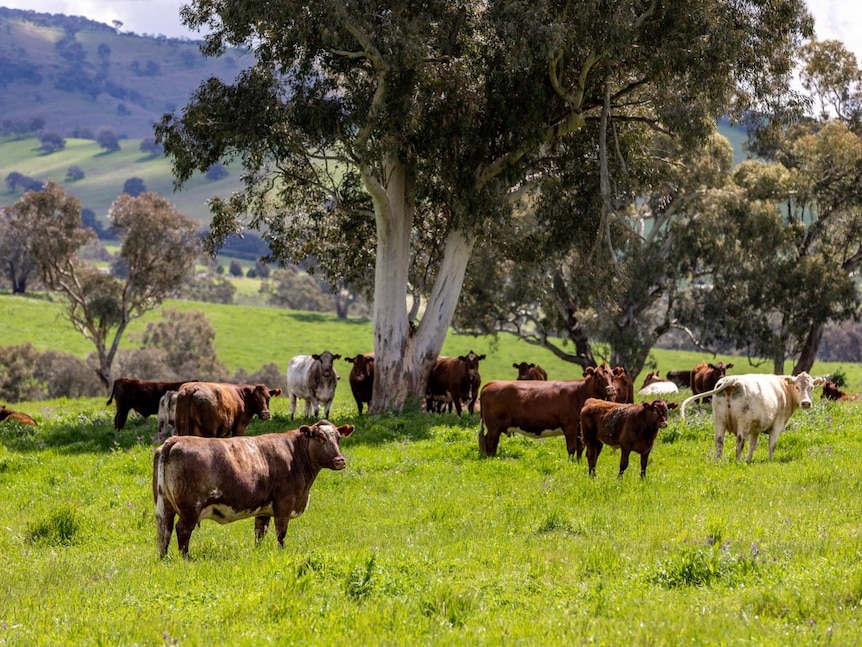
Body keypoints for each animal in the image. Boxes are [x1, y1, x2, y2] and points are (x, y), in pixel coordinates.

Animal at [154, 420, 354, 556]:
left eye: (338, 438)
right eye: (319, 437)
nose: (340, 461)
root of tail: (174, 440)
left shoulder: (264, 508)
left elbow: (260, 532)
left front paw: (258, 552)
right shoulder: (284, 502)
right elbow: (281, 532)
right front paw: (282, 552)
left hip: (164, 505)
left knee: (165, 530)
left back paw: (165, 558)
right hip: (191, 508)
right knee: (182, 529)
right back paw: (186, 558)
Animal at [480, 362, 620, 458]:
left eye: (613, 376)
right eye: (598, 376)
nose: (610, 389)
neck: (580, 392)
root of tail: (491, 383)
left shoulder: (580, 430)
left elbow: (580, 448)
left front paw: (578, 463)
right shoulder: (569, 426)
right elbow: (571, 448)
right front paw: (570, 464)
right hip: (494, 426)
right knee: (490, 441)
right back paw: (489, 459)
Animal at [680, 372, 832, 464]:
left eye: (812, 387)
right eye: (797, 387)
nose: (806, 403)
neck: (784, 390)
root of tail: (732, 379)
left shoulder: (756, 428)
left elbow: (753, 445)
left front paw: (748, 460)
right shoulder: (777, 425)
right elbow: (772, 445)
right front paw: (770, 460)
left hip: (719, 420)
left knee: (719, 441)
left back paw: (719, 460)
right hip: (743, 422)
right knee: (739, 442)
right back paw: (738, 461)